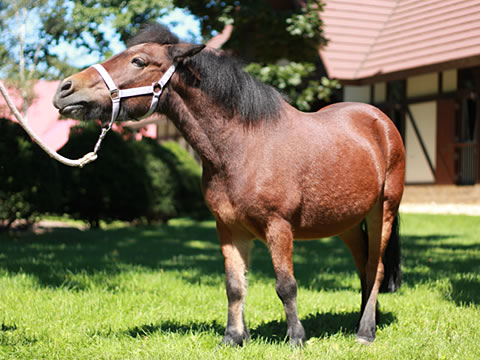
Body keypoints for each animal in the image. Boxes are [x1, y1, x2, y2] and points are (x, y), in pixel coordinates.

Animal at [53, 23, 404, 346]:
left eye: (138, 61)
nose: (65, 89)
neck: (243, 147)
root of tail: (381, 121)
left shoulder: (278, 227)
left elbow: (286, 285)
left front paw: (296, 339)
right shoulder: (229, 227)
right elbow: (235, 286)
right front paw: (233, 337)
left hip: (382, 212)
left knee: (376, 269)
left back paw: (365, 332)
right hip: (348, 222)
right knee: (364, 267)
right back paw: (364, 320)